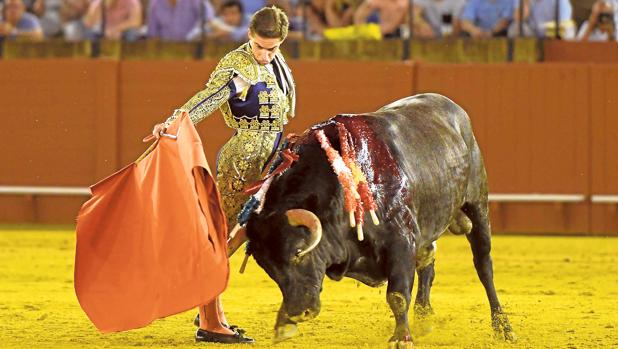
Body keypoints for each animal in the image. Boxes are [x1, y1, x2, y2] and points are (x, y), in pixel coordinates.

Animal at [242, 94, 516, 346]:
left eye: (298, 252)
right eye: (268, 267)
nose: (300, 312)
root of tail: (454, 110)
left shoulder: (401, 242)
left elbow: (397, 295)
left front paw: (402, 338)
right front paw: (283, 322)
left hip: (477, 205)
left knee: (484, 265)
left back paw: (503, 328)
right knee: (428, 260)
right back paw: (424, 318)